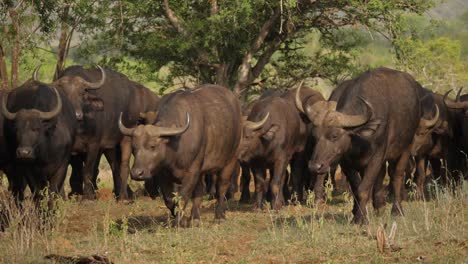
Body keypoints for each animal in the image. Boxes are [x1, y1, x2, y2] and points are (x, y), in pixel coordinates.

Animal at [119, 84, 241, 225]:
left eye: (152, 146)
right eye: (134, 147)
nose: (136, 173)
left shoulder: (192, 172)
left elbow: (183, 197)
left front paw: (179, 222)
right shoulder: (163, 174)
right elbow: (169, 199)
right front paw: (178, 217)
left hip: (231, 159)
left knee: (222, 186)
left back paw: (219, 216)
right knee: (200, 189)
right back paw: (195, 218)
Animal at [296, 67, 420, 224]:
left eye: (335, 135)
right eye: (314, 135)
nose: (314, 166)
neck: (359, 139)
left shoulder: (377, 157)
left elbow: (363, 189)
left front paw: (361, 219)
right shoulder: (345, 161)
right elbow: (356, 187)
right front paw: (357, 215)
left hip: (405, 148)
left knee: (397, 175)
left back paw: (397, 210)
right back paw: (379, 206)